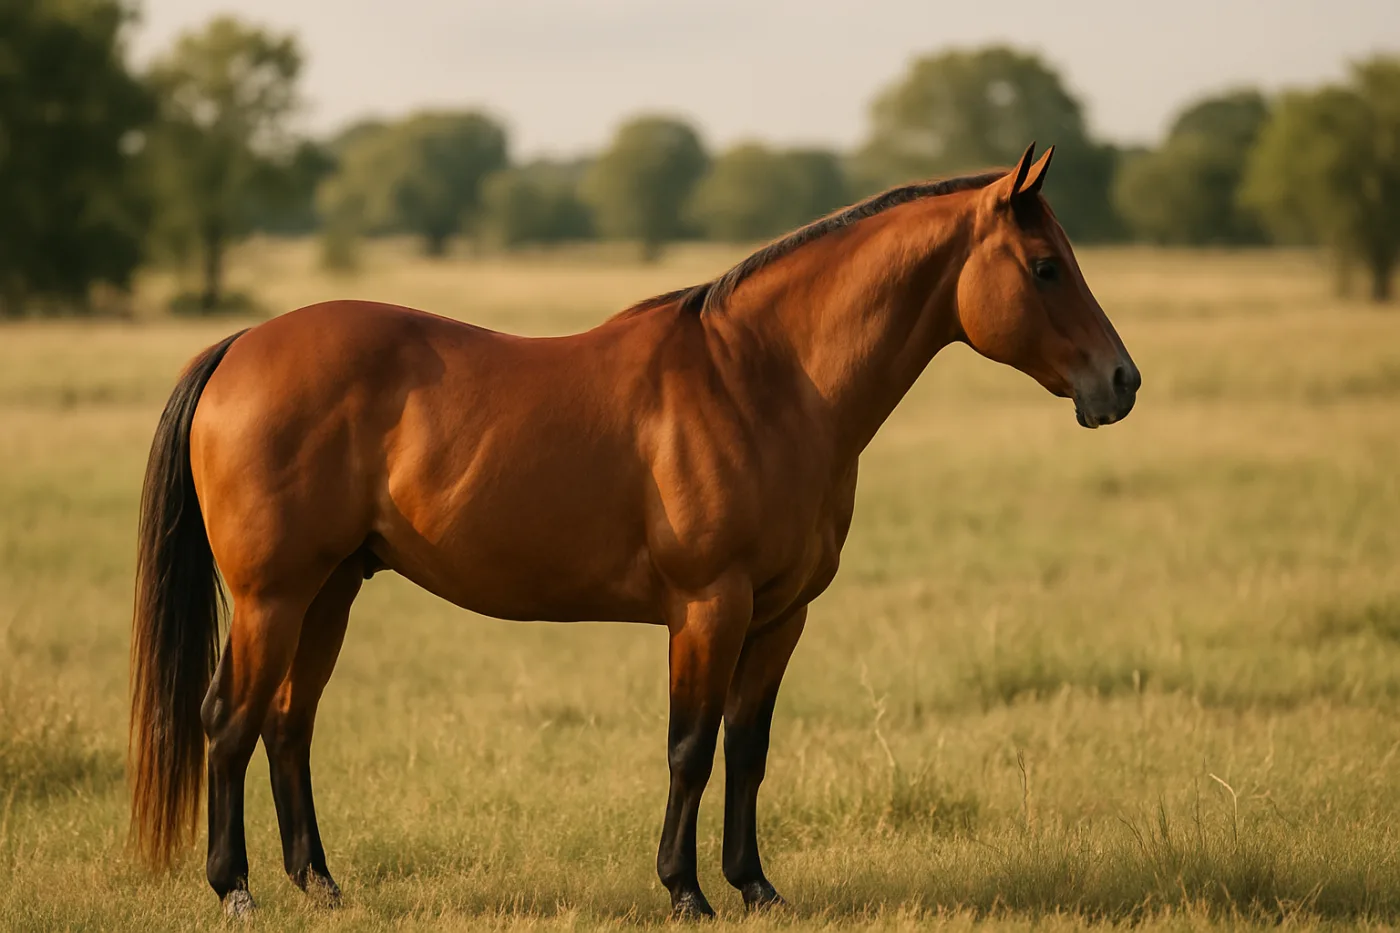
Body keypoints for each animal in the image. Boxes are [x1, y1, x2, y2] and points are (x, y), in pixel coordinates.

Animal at [130, 143, 1139, 919]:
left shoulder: (780, 617)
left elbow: (747, 748)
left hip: (330, 589)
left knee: (288, 722)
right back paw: (235, 888)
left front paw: (757, 887)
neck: (767, 381)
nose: (1121, 381)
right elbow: (690, 747)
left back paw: (323, 884)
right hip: (273, 595)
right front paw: (685, 891)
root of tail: (240, 345)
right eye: (1045, 267)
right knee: (228, 719)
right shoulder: (708, 606)